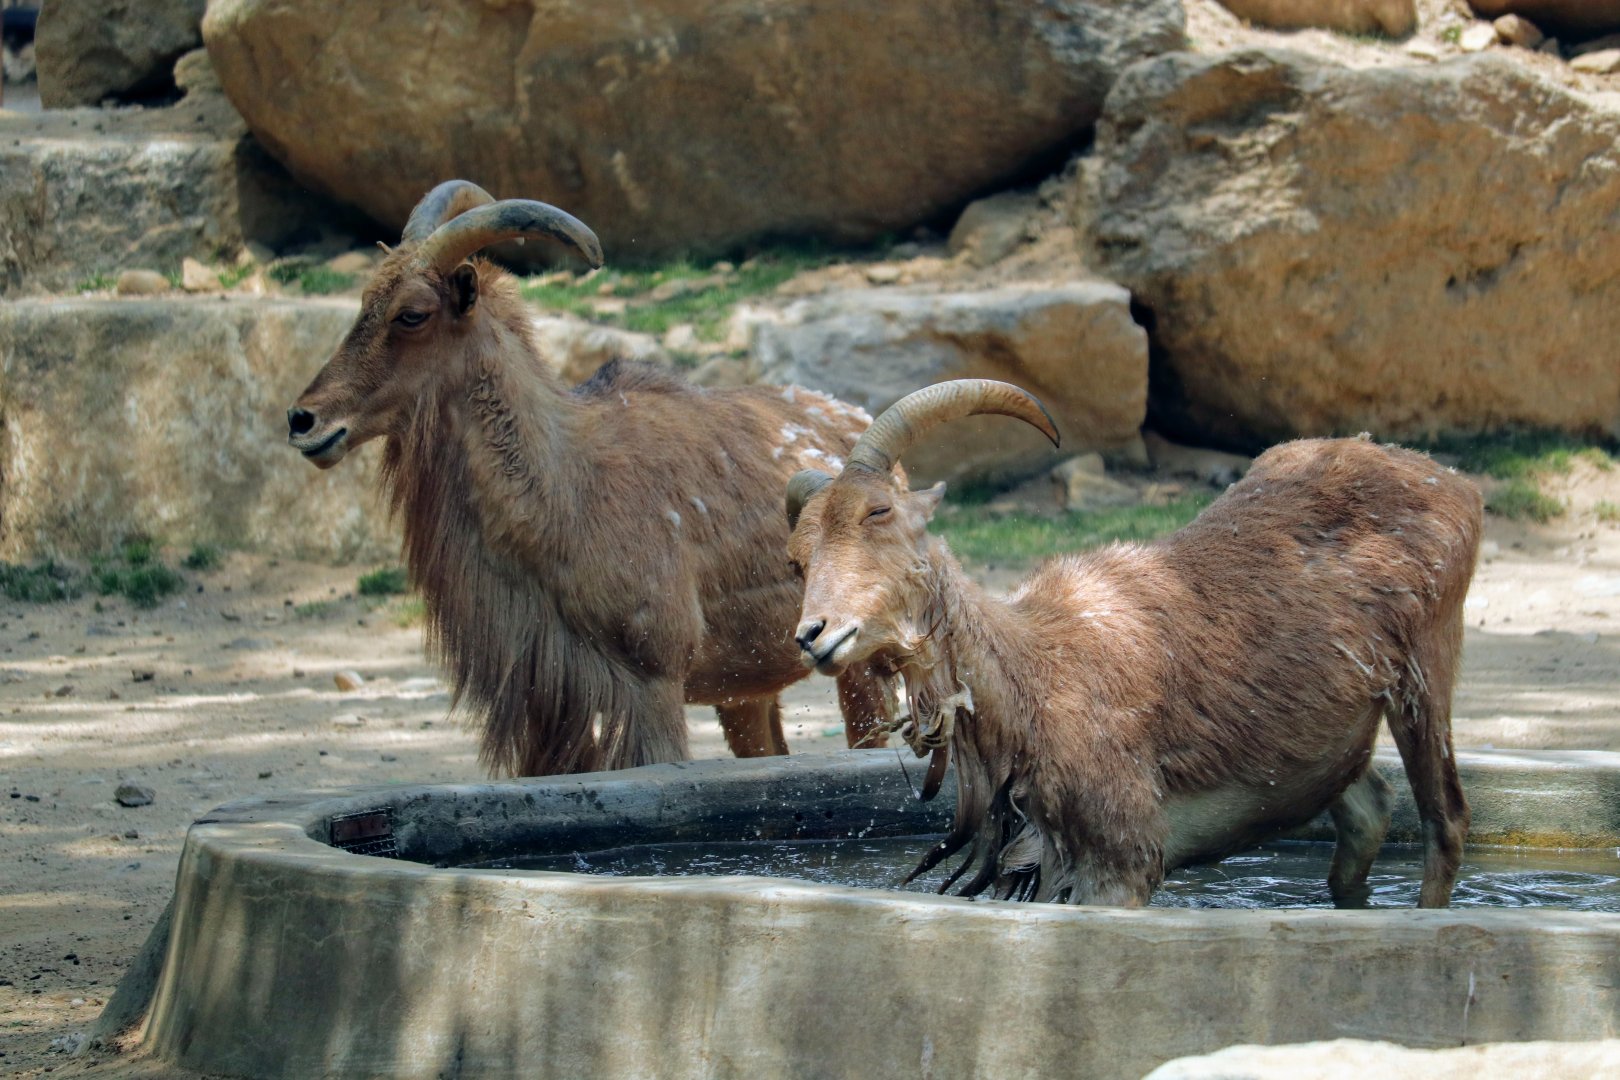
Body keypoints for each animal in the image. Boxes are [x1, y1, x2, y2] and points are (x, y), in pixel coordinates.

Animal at [286, 180, 894, 776]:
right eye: (363, 303)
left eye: (411, 314)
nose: (303, 420)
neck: (561, 489)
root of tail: (857, 418)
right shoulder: (546, 707)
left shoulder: (653, 680)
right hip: (746, 692)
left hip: (856, 664)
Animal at [784, 379, 1481, 907]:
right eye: (797, 556)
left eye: (879, 512)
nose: (814, 635)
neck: (1035, 672)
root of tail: (1450, 481)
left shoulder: (1122, 858)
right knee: (1368, 810)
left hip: (1425, 669)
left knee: (1445, 820)